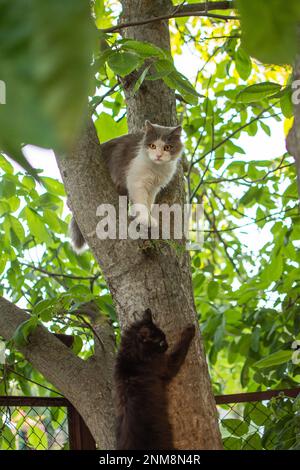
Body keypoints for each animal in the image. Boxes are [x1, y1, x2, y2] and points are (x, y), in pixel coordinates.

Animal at [69, 121, 183, 252]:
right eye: (152, 146)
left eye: (167, 147)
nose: (158, 155)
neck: (157, 168)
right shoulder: (136, 182)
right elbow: (141, 203)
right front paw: (145, 219)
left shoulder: (154, 188)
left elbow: (148, 203)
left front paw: (146, 216)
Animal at [113, 306, 196, 450]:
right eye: (161, 342)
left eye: (165, 338)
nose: (167, 344)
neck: (131, 357)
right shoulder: (167, 365)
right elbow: (180, 348)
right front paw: (189, 330)